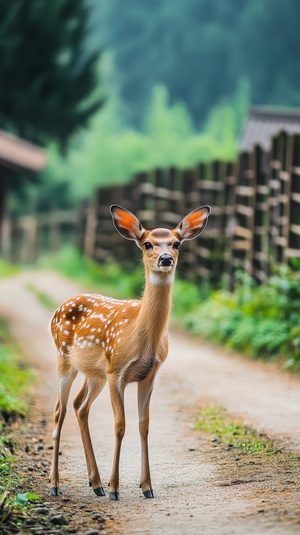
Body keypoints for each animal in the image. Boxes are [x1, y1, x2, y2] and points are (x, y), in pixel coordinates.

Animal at [49, 204, 211, 502]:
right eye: (147, 244)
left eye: (176, 243)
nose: (166, 258)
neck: (142, 337)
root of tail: (58, 308)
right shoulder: (117, 371)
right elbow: (120, 425)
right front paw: (116, 488)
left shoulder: (149, 374)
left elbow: (143, 425)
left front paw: (147, 487)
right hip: (64, 358)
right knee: (59, 411)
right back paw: (56, 485)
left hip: (94, 374)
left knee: (79, 406)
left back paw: (95, 483)